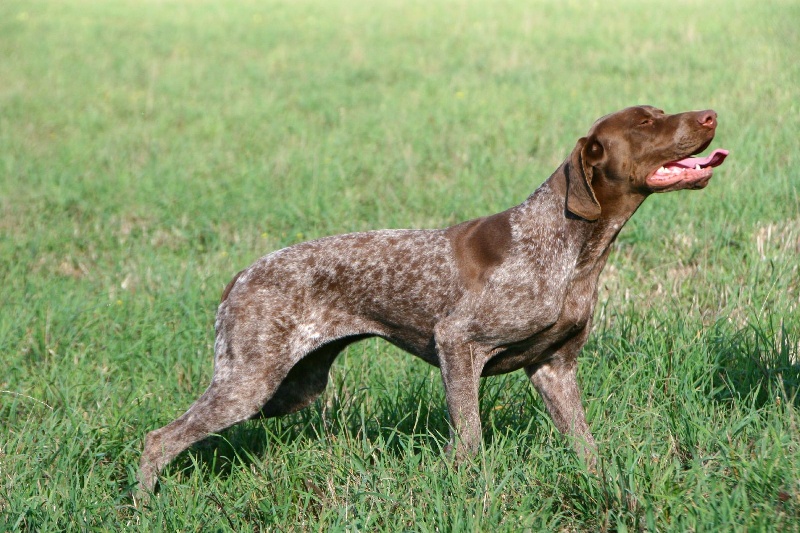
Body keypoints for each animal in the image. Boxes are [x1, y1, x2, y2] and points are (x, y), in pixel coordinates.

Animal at [136, 105, 724, 494]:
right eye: (646, 122)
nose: (710, 115)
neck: (571, 248)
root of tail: (242, 275)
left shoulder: (555, 368)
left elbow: (586, 446)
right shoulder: (458, 344)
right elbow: (469, 440)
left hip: (289, 389)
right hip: (249, 383)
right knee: (158, 440)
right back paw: (145, 504)